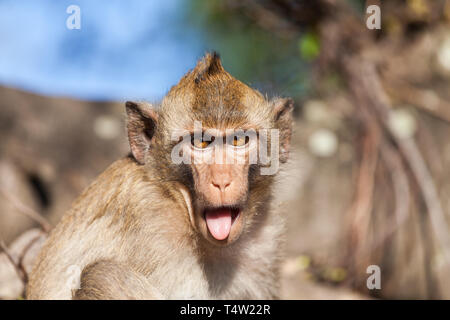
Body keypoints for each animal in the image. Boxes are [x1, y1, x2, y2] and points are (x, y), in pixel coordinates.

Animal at [27, 52, 296, 300]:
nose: (221, 180)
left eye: (239, 140)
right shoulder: (152, 224)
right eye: (200, 142)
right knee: (104, 276)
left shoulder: (264, 240)